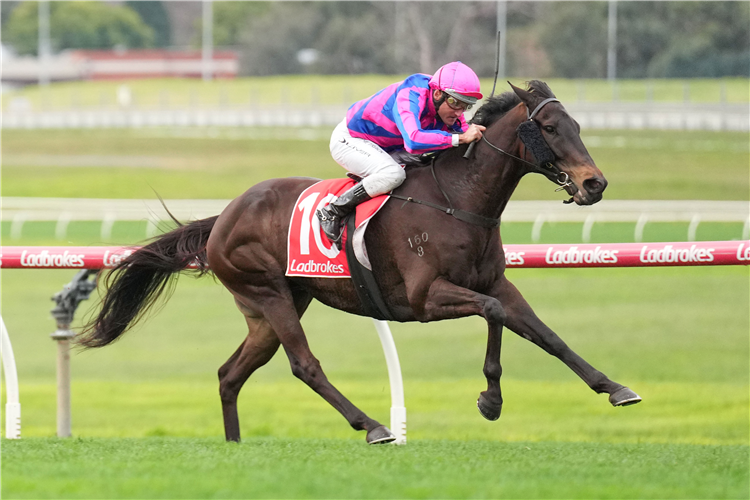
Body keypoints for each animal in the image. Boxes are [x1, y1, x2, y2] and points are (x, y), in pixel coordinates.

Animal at [83, 82, 648, 446]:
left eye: (578, 125)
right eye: (549, 127)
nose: (595, 183)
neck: (460, 200)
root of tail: (225, 216)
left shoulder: (497, 283)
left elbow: (544, 333)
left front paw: (614, 388)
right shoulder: (424, 297)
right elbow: (492, 314)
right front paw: (490, 400)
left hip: (276, 305)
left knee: (231, 373)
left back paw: (235, 445)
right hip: (267, 292)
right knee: (304, 364)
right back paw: (373, 426)